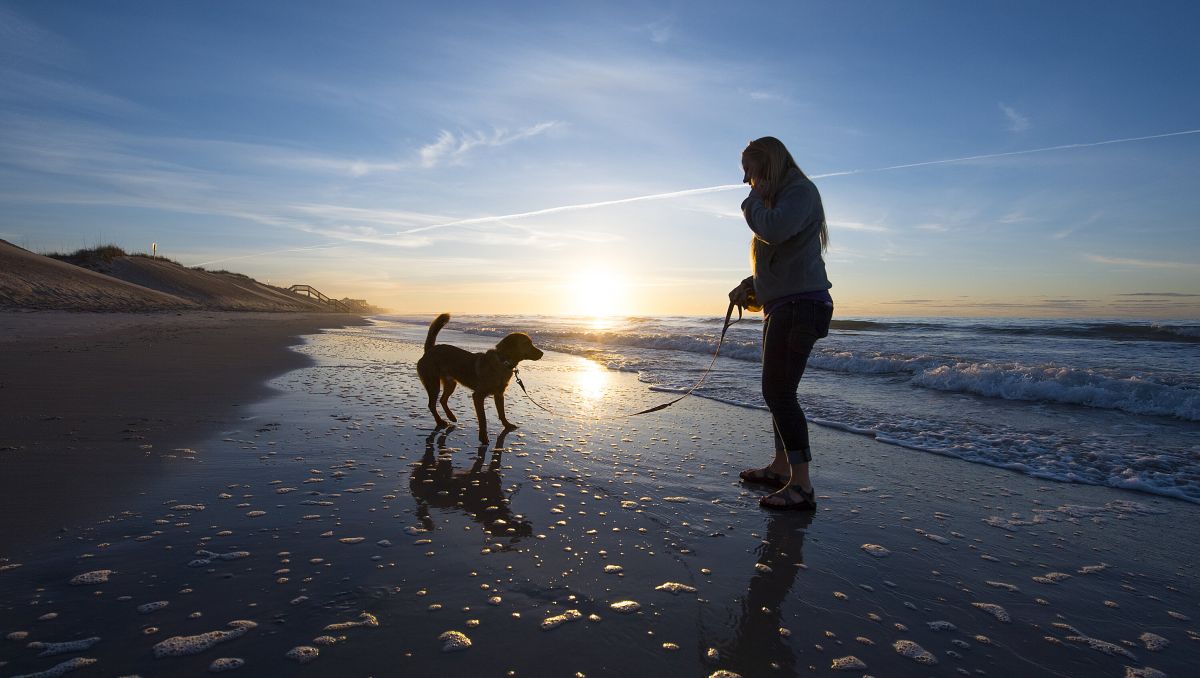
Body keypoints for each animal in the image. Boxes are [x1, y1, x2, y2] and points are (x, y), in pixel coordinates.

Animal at [415, 309, 542, 439]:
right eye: (526, 343)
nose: (542, 353)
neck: (503, 362)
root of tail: (429, 351)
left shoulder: (499, 394)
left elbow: (502, 413)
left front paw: (507, 425)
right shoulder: (478, 396)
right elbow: (483, 418)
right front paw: (483, 437)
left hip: (451, 383)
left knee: (442, 400)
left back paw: (451, 416)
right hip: (433, 384)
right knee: (432, 404)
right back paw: (440, 421)